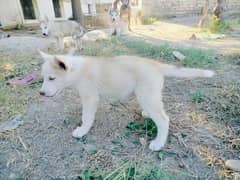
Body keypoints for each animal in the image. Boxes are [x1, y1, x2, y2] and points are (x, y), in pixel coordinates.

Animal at [38, 51, 215, 152]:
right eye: (44, 78)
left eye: (52, 78)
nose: (41, 93)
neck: (78, 70)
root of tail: (155, 64)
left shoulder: (90, 98)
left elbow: (86, 117)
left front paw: (82, 131)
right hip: (147, 95)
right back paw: (146, 114)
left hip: (146, 95)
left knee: (164, 120)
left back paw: (158, 144)